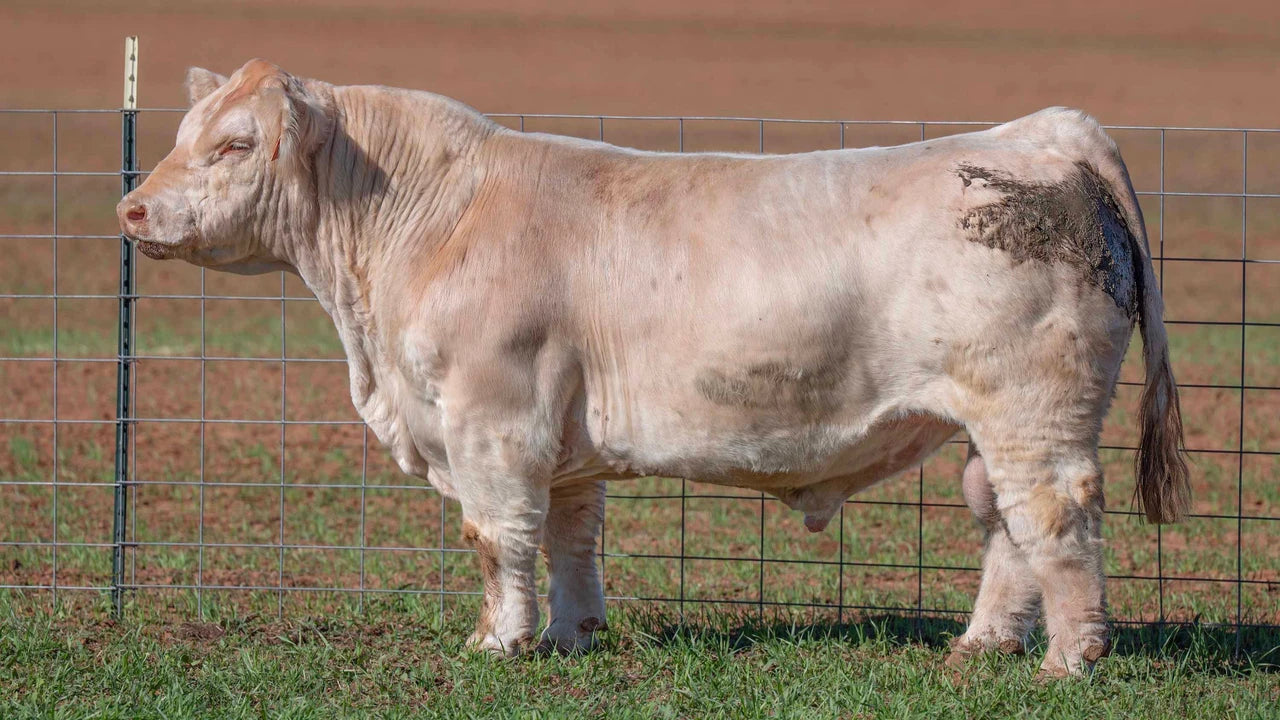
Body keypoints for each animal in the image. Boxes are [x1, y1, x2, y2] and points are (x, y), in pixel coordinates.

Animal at [117, 58, 1190, 677]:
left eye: (235, 142)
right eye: (179, 136)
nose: (131, 209)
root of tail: (1047, 131)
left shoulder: (492, 417)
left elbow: (494, 535)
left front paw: (497, 644)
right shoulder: (560, 438)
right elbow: (568, 538)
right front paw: (568, 637)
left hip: (1033, 411)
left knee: (1056, 518)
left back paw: (1070, 660)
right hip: (987, 426)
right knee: (1005, 527)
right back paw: (981, 646)